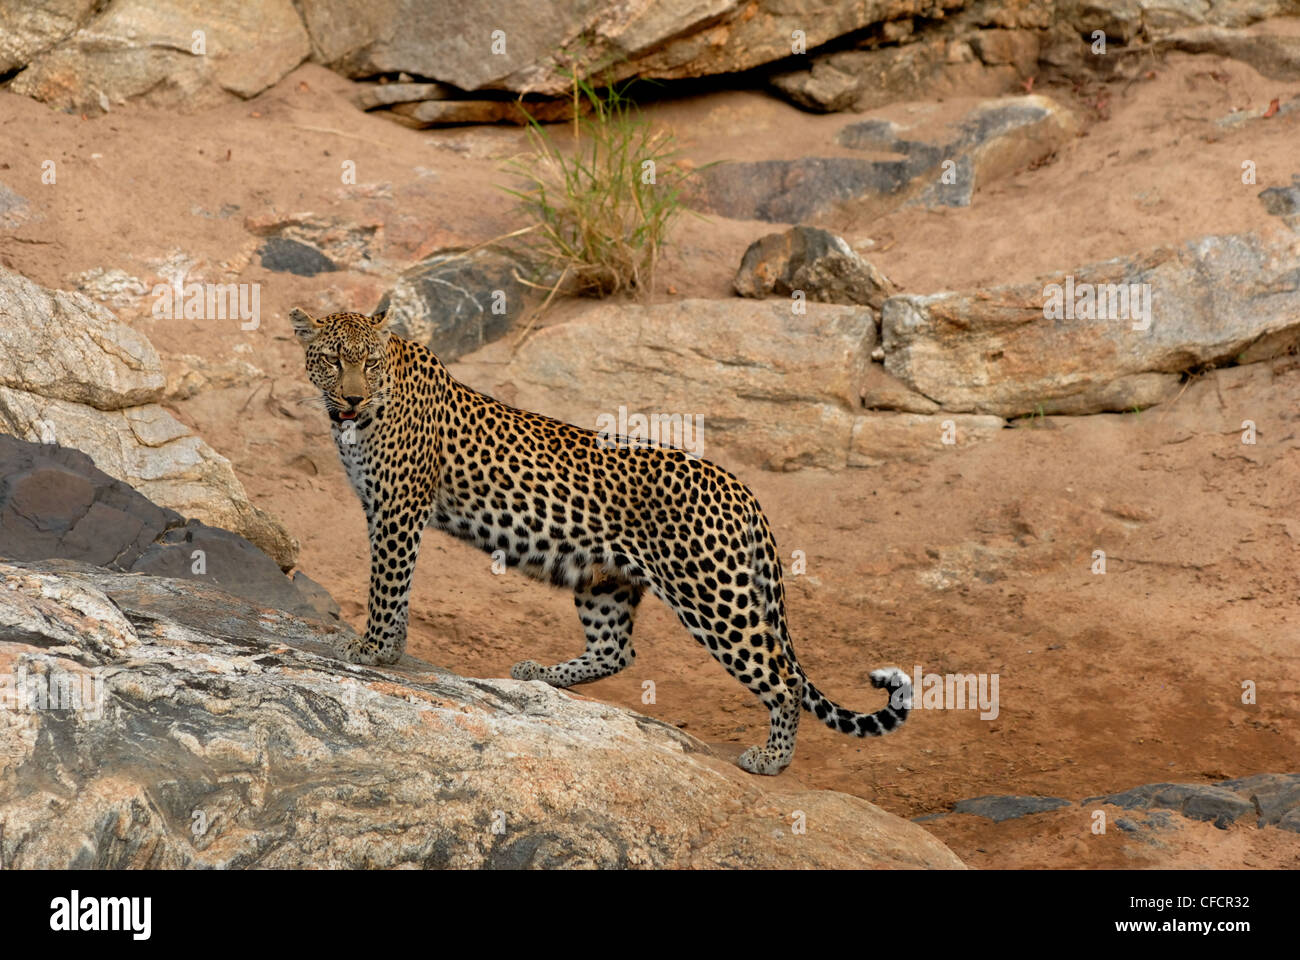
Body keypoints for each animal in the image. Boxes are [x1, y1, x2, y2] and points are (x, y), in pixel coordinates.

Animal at [289, 306, 909, 770]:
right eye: (333, 360)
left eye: (368, 363)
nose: (352, 399)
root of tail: (744, 490)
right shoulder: (384, 509)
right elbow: (394, 587)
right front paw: (390, 647)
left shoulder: (399, 508)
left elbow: (386, 583)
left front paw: (371, 649)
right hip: (604, 577)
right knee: (617, 650)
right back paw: (542, 675)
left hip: (714, 596)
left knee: (781, 677)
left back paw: (771, 758)